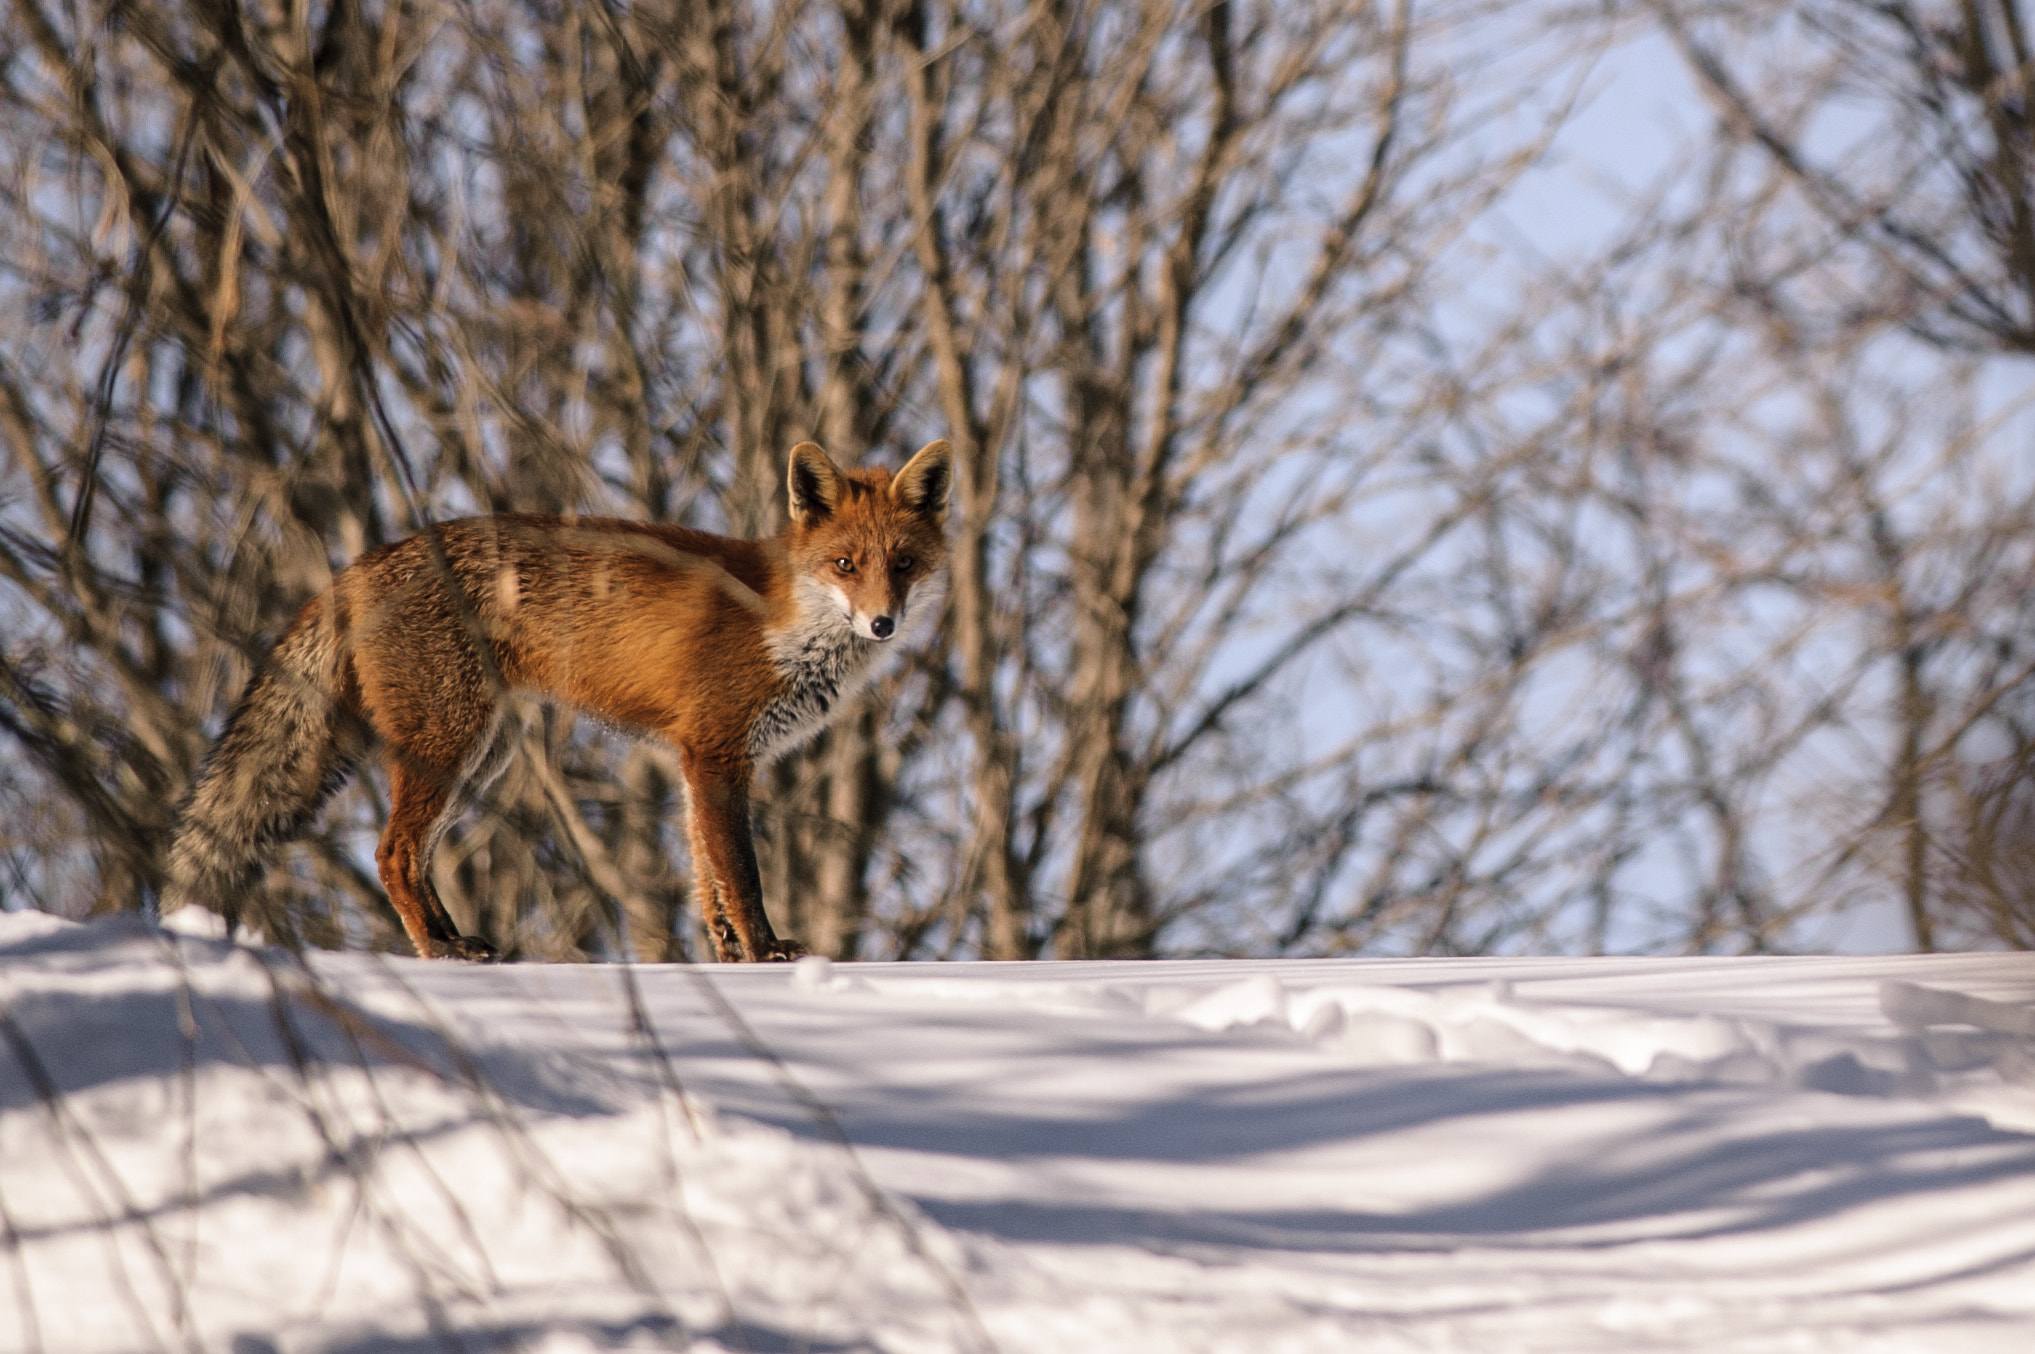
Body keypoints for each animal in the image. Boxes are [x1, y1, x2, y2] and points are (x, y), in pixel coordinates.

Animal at [162, 437, 948, 956]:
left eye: (903, 565)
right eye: (845, 564)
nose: (882, 623)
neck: (784, 622)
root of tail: (363, 562)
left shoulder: (697, 760)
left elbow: (708, 883)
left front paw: (728, 961)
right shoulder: (717, 751)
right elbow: (741, 878)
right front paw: (767, 954)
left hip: (482, 756)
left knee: (414, 855)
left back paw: (458, 942)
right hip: (447, 744)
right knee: (391, 853)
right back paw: (439, 951)